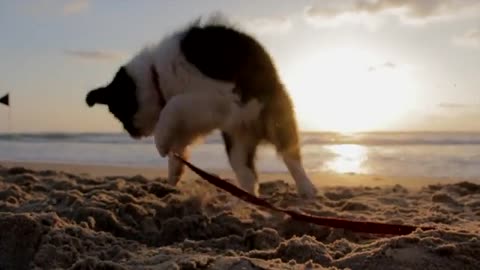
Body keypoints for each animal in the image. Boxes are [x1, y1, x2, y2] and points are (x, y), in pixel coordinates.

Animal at [85, 17, 318, 197]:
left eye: (119, 113)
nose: (131, 133)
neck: (156, 76)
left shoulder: (223, 97)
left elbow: (173, 105)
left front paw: (160, 144)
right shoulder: (200, 117)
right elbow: (177, 140)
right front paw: (174, 170)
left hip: (275, 119)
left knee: (290, 156)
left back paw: (306, 189)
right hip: (238, 144)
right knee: (248, 175)